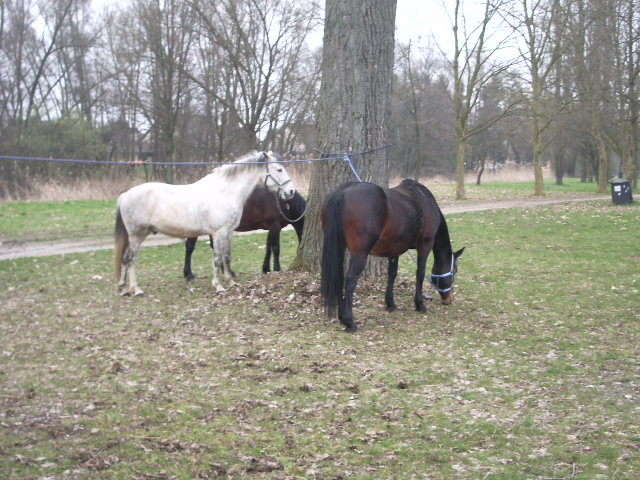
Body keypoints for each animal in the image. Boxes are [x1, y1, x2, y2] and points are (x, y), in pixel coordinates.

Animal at [320, 178, 464, 332]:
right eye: (454, 271)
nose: (449, 299)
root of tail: (341, 193)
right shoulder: (425, 246)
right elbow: (420, 273)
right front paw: (419, 304)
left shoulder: (394, 249)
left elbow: (392, 274)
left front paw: (390, 303)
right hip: (360, 254)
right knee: (350, 281)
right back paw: (349, 322)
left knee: (339, 278)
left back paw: (341, 317)